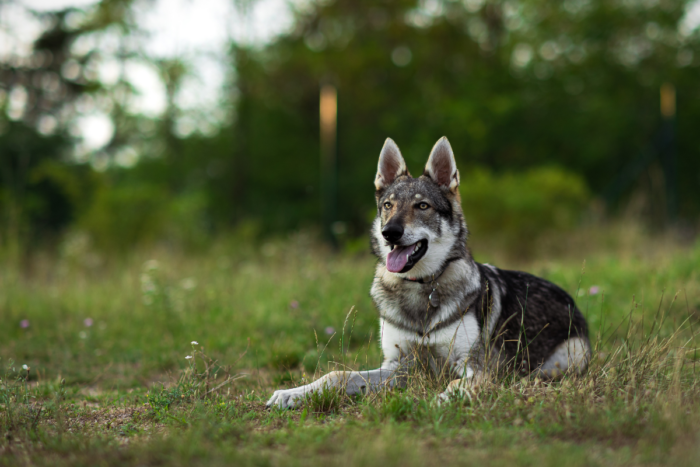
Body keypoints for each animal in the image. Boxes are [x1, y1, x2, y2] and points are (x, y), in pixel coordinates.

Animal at [267, 137, 590, 409]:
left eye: (422, 206)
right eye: (388, 205)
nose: (389, 233)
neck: (420, 288)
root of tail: (569, 298)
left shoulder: (472, 367)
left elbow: (458, 384)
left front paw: (441, 400)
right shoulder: (398, 366)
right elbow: (338, 375)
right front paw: (292, 394)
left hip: (566, 359)